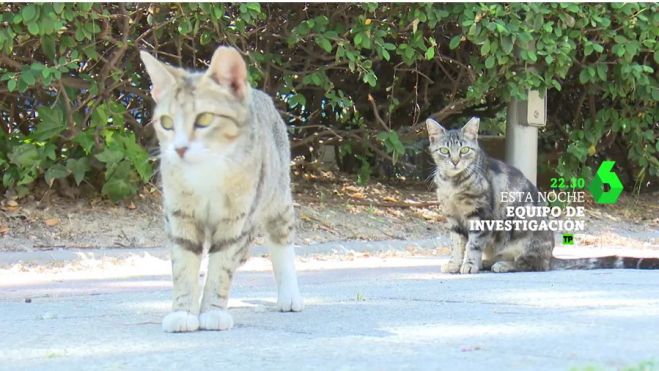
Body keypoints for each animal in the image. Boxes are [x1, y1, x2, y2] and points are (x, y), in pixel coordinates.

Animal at [143, 46, 302, 334]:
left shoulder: (236, 218)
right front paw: (183, 311)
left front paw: (213, 311)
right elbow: (183, 263)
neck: (206, 171)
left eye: (204, 119)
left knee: (281, 241)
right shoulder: (179, 214)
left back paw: (289, 295)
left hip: (277, 194)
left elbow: (222, 265)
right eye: (167, 122)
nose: (179, 148)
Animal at [428, 117, 659, 274]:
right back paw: (490, 262)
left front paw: (469, 265)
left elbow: (473, 244)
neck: (453, 184)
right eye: (445, 151)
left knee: (533, 264)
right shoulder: (453, 218)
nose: (455, 161)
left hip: (525, 228)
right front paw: (455, 264)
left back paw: (503, 265)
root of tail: (551, 255)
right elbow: (457, 244)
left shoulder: (480, 215)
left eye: (465, 150)